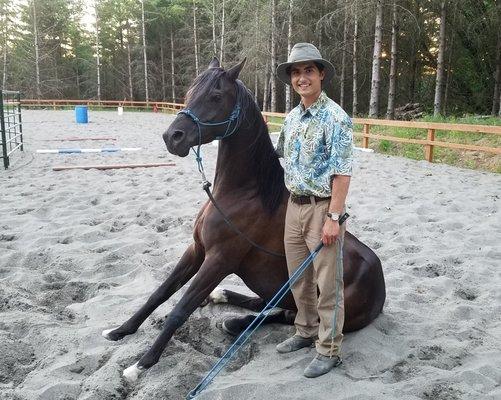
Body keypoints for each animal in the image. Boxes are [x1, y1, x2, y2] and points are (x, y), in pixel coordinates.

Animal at [100, 57, 382, 382]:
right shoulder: (197, 250)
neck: (243, 195)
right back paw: (224, 304)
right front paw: (120, 331)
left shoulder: (219, 260)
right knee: (270, 304)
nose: (172, 137)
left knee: (293, 317)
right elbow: (159, 293)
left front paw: (141, 364)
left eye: (215, 96)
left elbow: (180, 309)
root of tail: (380, 282)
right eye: (190, 92)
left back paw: (235, 323)